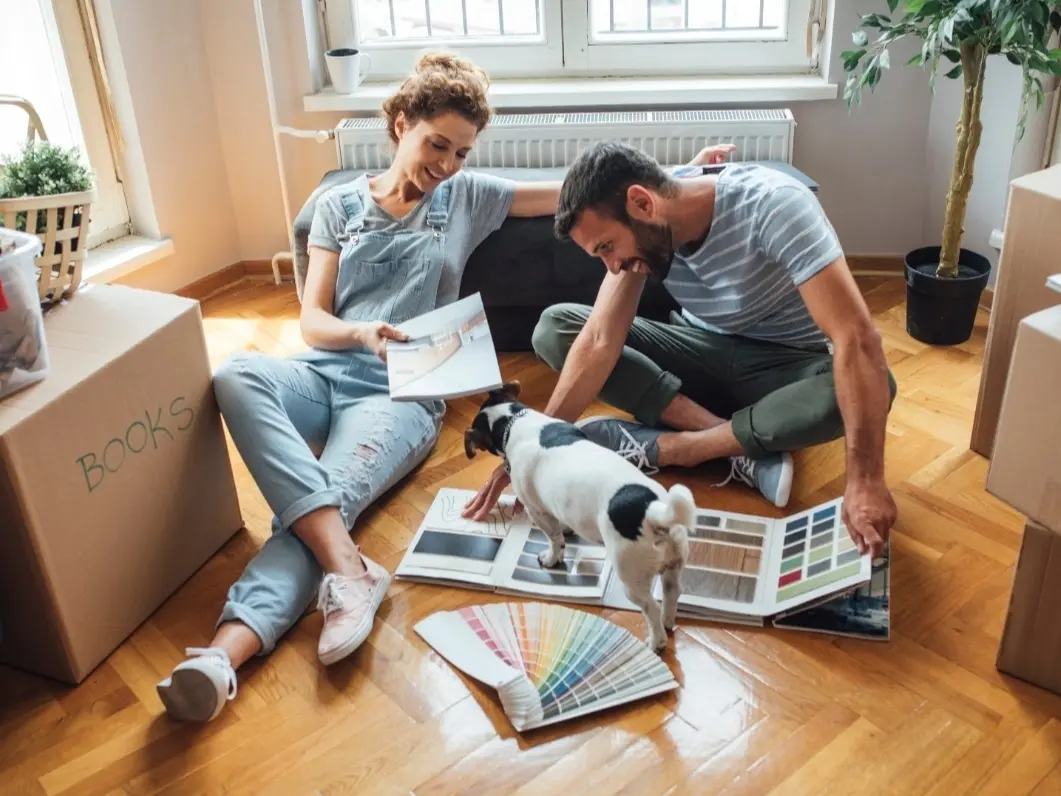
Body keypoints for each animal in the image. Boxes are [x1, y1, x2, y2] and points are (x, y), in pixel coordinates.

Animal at [466, 382, 696, 653]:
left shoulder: (537, 511)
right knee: (672, 592)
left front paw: (551, 558)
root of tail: (653, 511)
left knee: (651, 607)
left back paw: (655, 641)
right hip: (674, 563)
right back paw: (668, 622)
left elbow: (554, 539)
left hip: (631, 577)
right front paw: (567, 529)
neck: (515, 420)